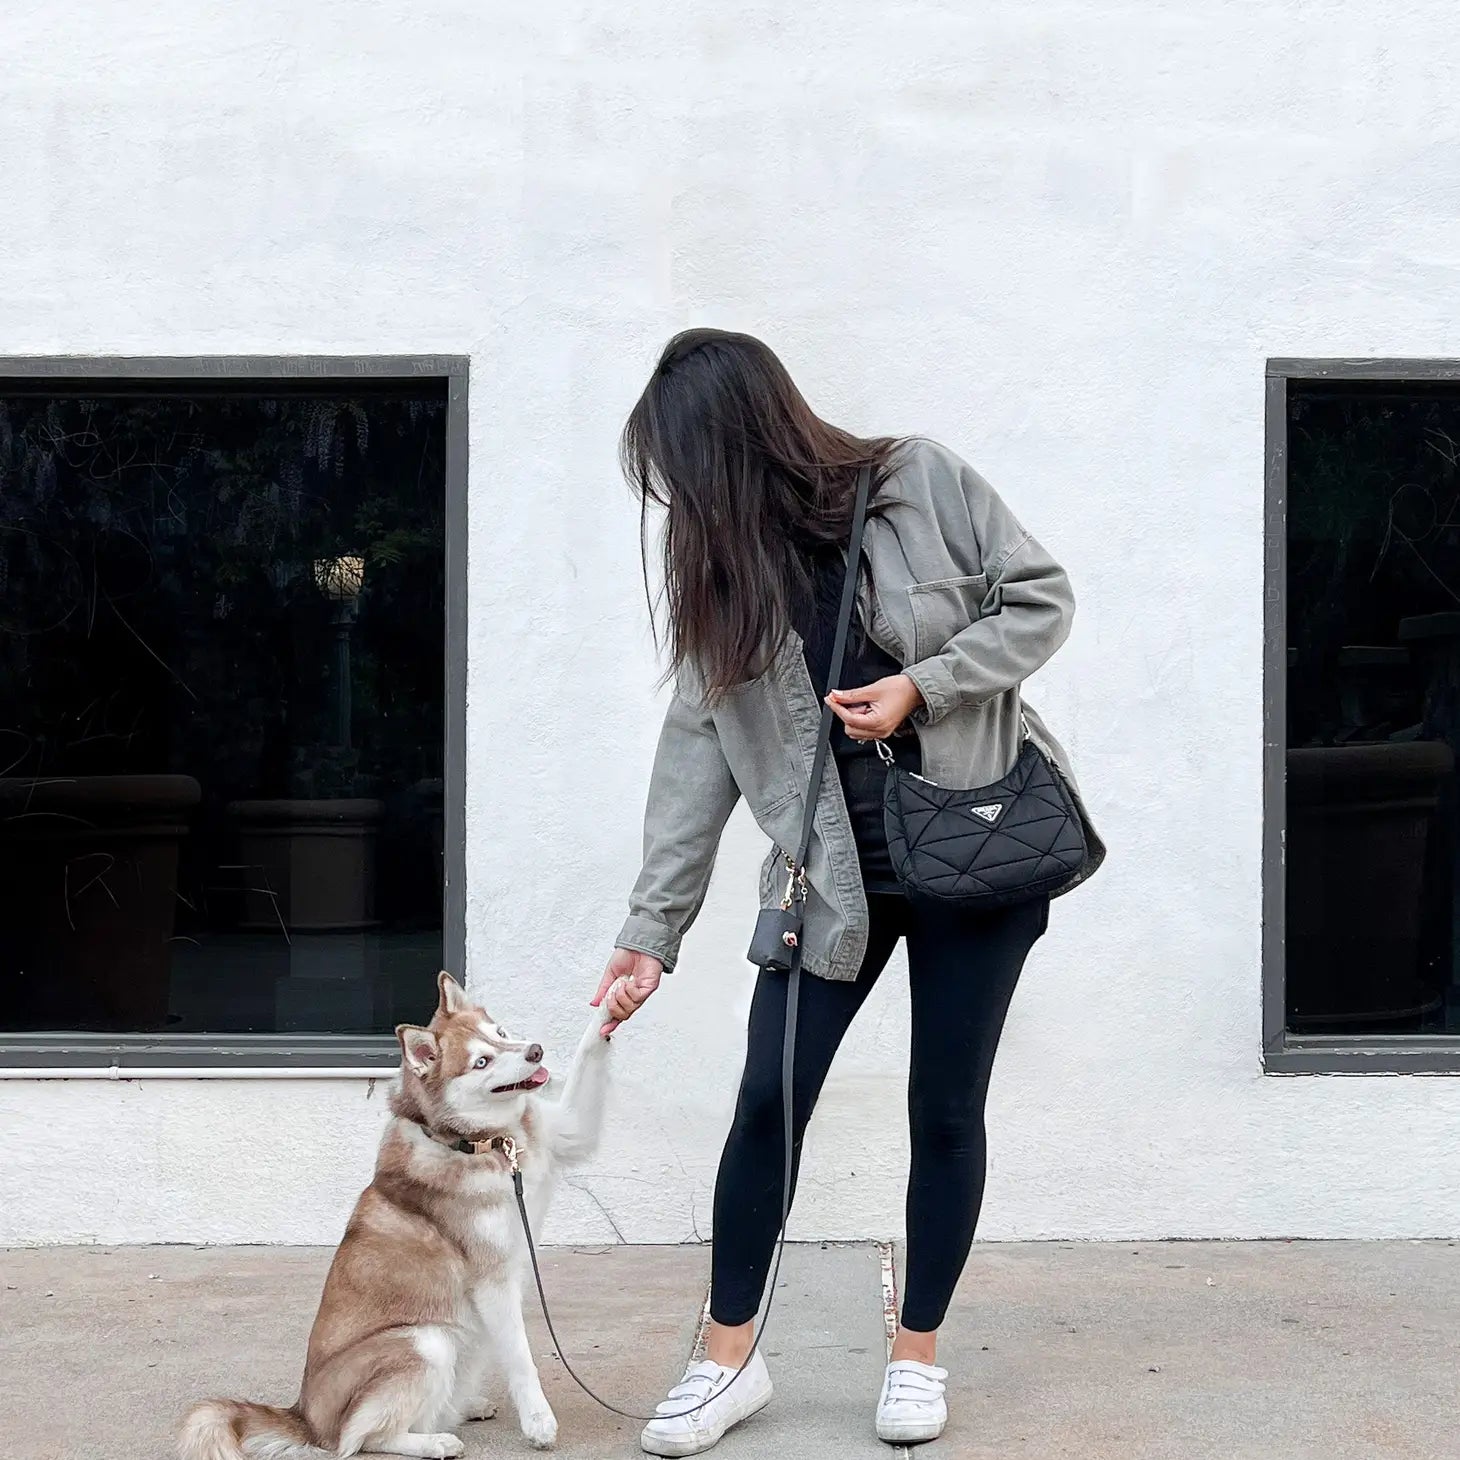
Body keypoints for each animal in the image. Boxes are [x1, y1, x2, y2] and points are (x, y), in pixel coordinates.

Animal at [179, 963, 613, 1454]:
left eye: (500, 1034)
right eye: (481, 1062)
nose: (535, 1051)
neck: (488, 1142)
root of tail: (305, 1418)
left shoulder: (568, 1132)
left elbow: (590, 1049)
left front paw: (615, 999)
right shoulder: (493, 1281)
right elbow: (521, 1357)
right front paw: (538, 1420)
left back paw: (462, 1409)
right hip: (424, 1341)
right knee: (359, 1440)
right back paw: (433, 1443)